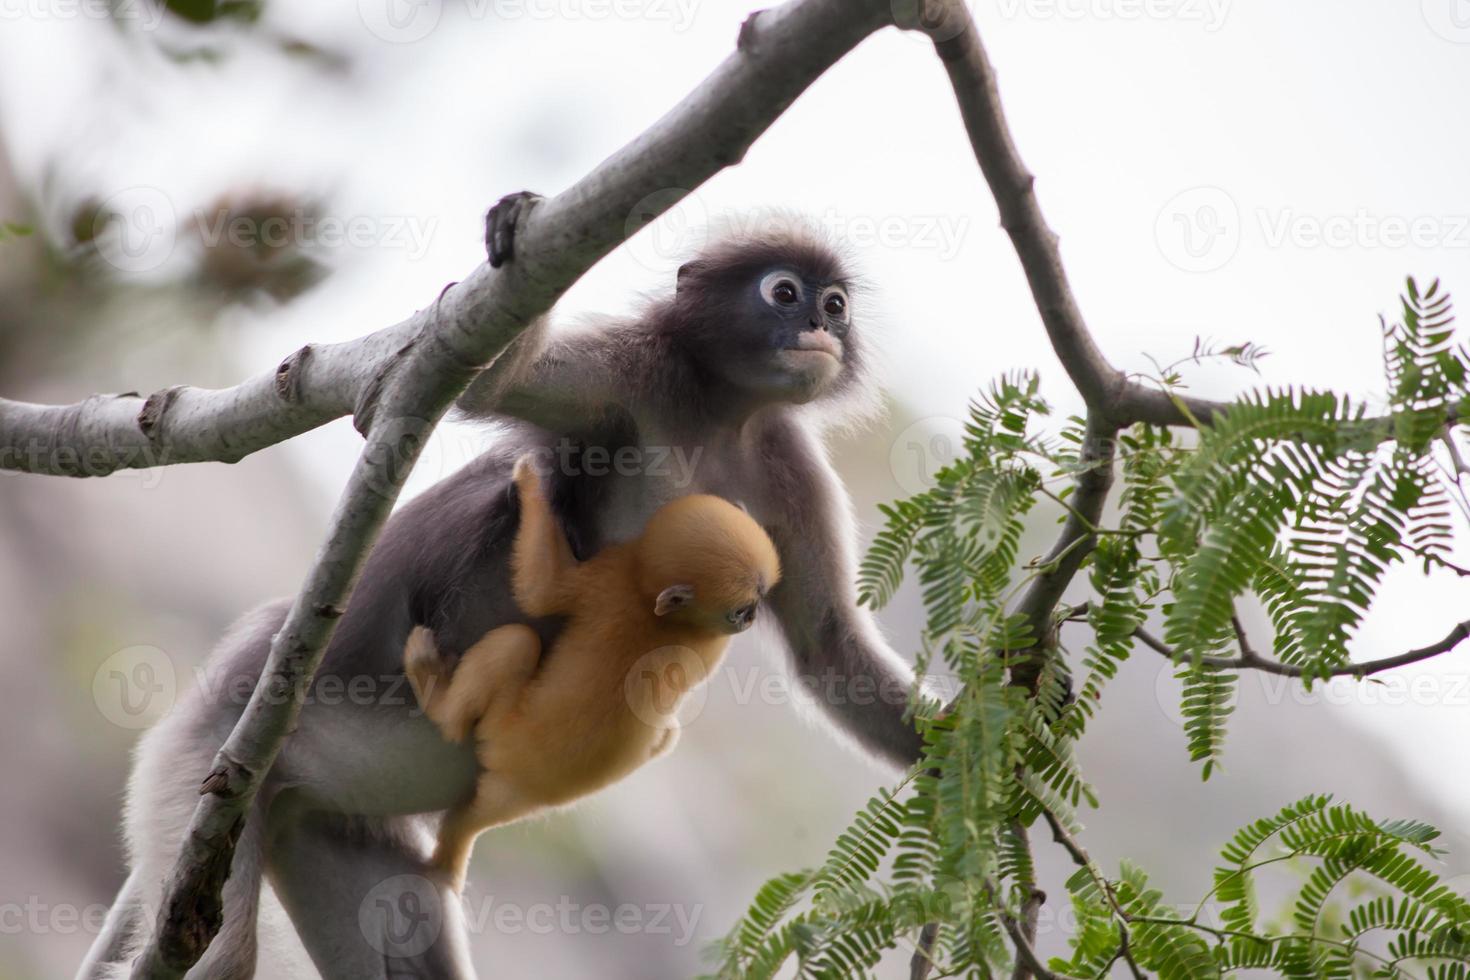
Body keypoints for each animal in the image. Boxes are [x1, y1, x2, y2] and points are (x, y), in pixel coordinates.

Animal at [396, 452, 776, 887]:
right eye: (742, 610)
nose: (750, 620)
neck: (657, 607)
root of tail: (524, 791)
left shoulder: (608, 578)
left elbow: (541, 593)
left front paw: (529, 483)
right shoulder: (619, 576)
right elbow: (543, 591)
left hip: (499, 732)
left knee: (515, 643)